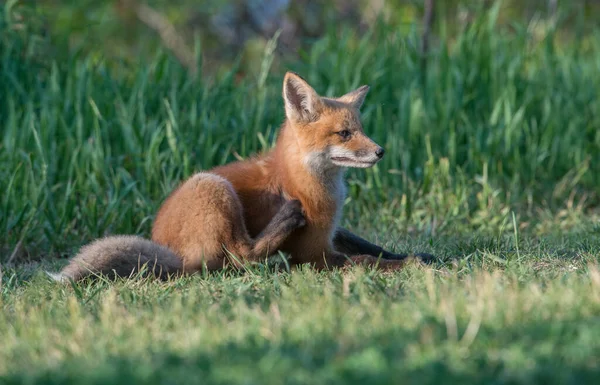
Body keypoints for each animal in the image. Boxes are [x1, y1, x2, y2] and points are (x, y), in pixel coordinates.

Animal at [47, 73, 432, 282]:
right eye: (344, 134)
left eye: (361, 130)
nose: (380, 151)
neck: (303, 181)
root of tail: (167, 248)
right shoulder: (313, 255)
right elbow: (367, 261)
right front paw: (410, 264)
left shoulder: (333, 233)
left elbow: (370, 246)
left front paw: (417, 254)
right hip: (214, 187)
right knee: (241, 256)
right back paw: (282, 224)